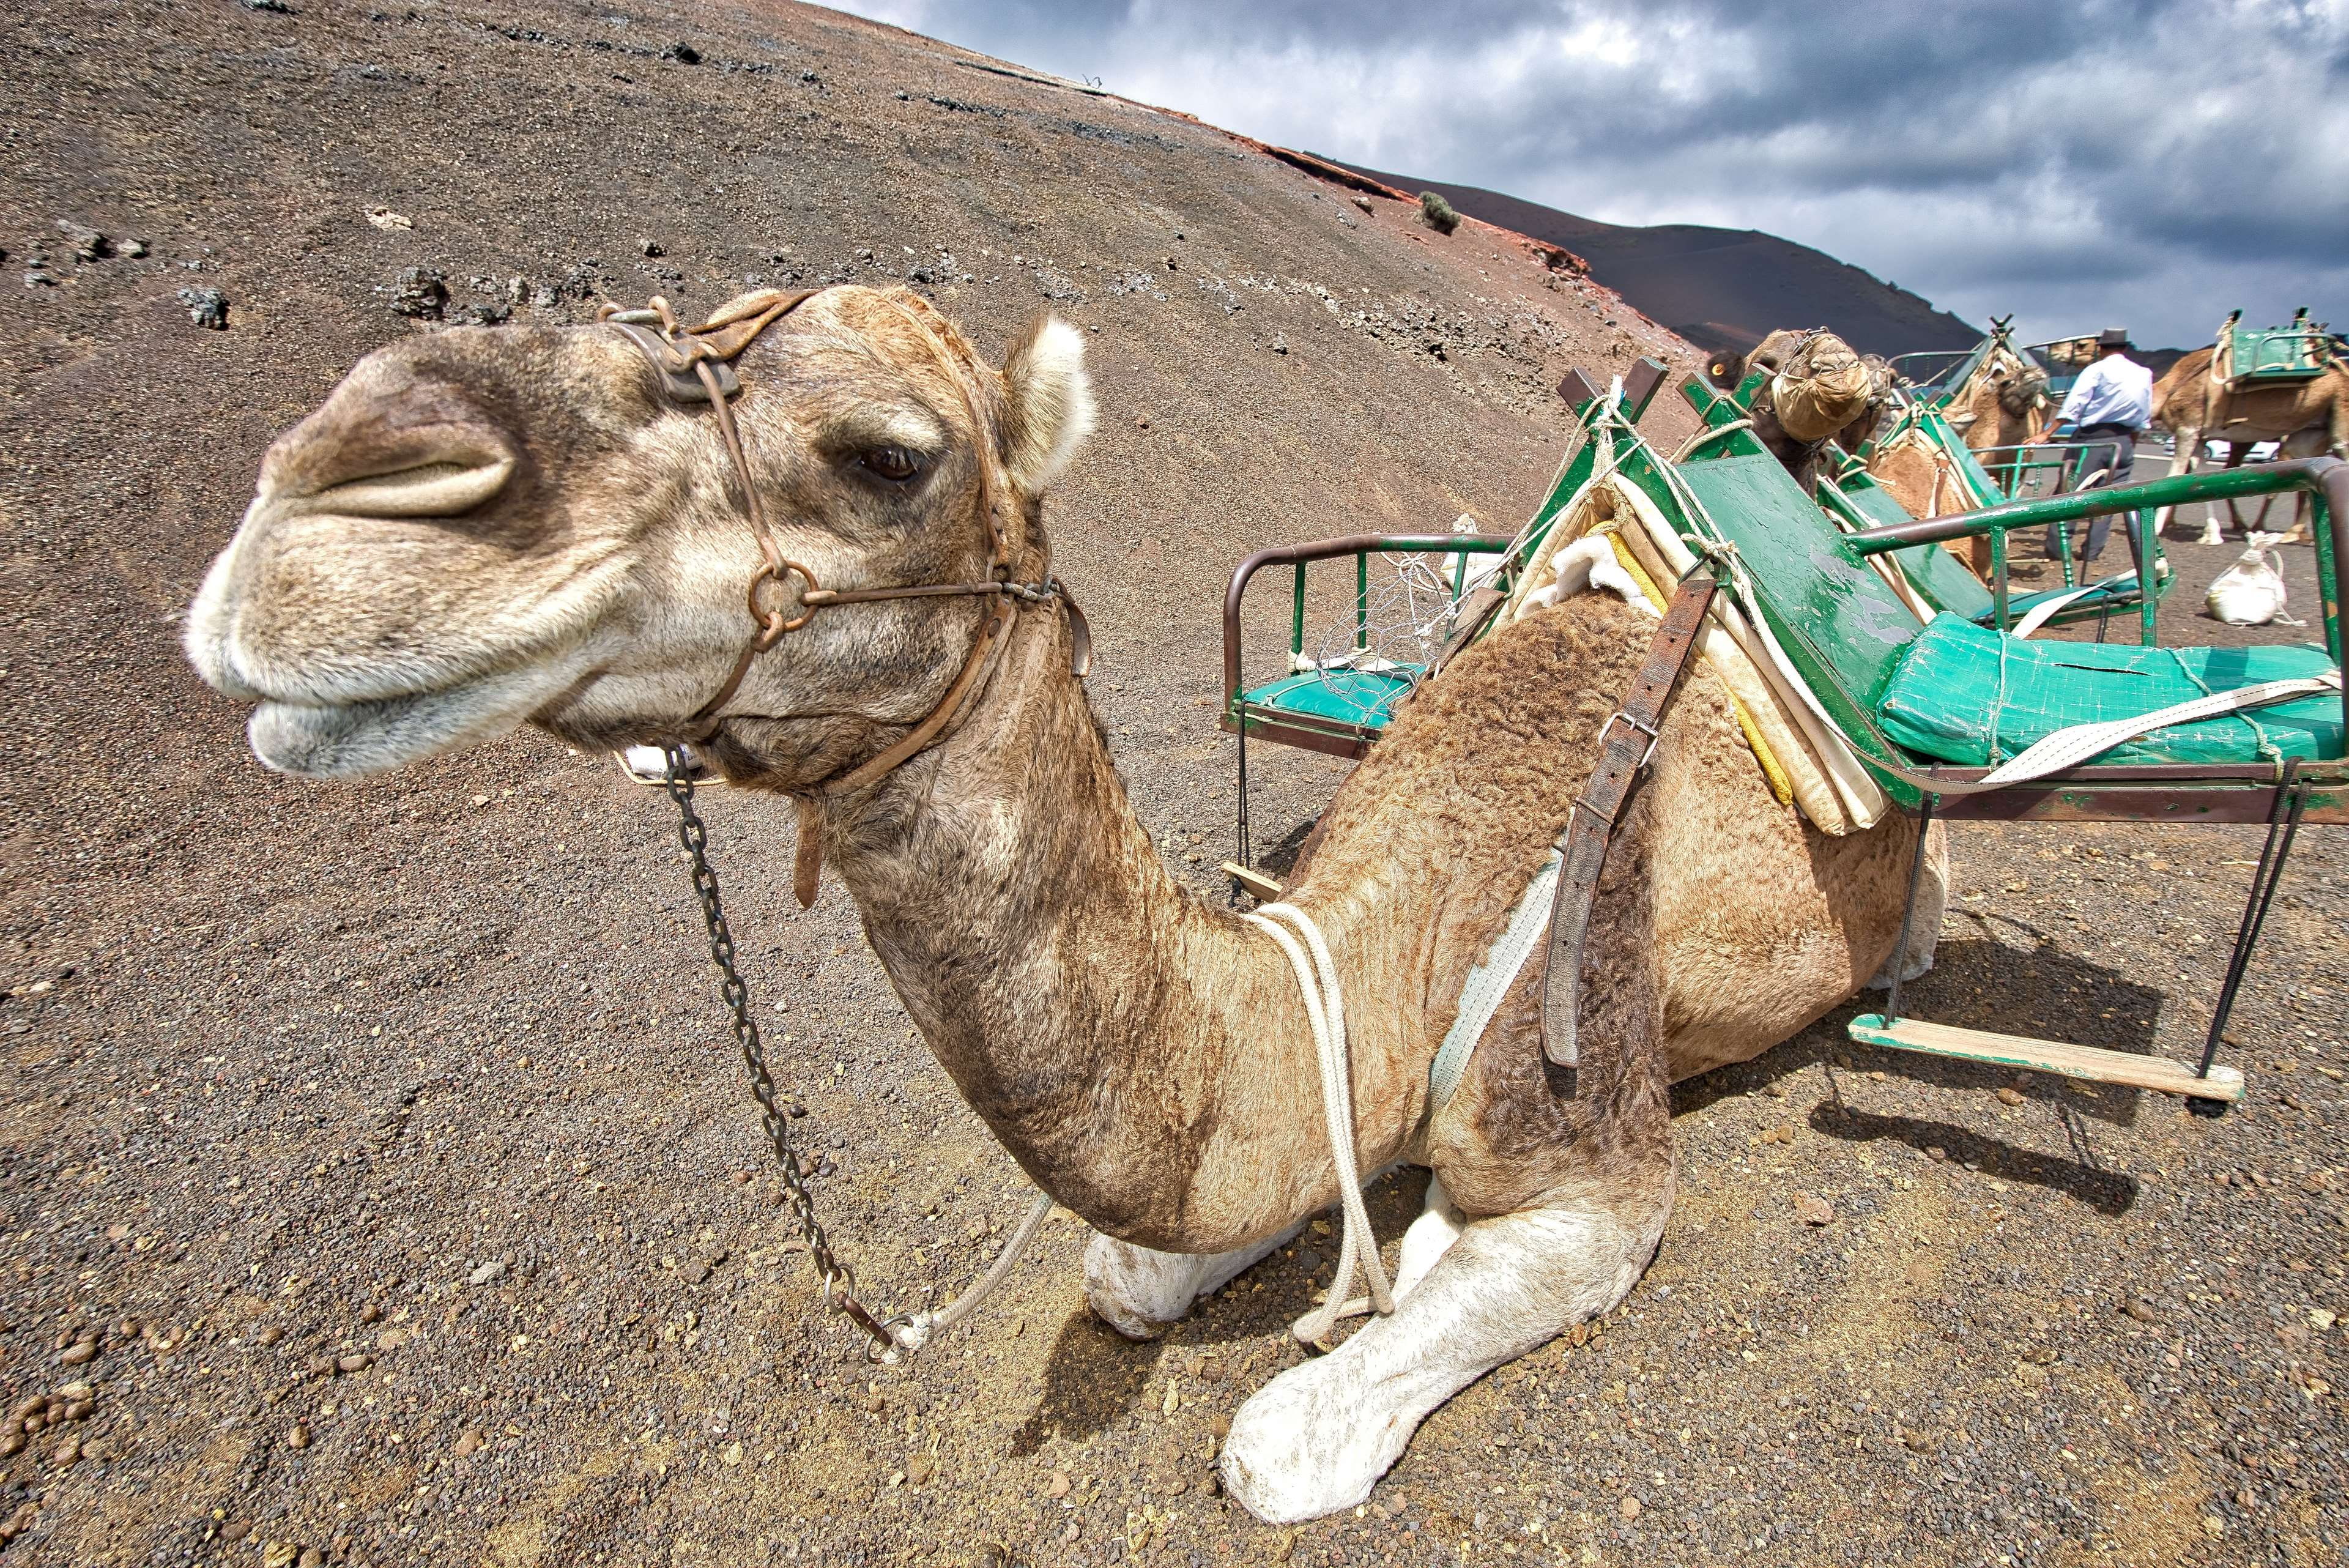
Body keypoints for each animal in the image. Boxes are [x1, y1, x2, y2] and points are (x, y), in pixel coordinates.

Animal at [183, 287, 1942, 1523]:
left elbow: (1278, 1442)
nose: (332, 493)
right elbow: (1131, 1268)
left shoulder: (1604, 1159)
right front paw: (1395, 1234)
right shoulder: (1323, 1086)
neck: (1419, 916)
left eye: (890, 454)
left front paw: (1407, 1267)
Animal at [2150, 344, 2347, 544]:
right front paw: (2212, 535)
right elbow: (2199, 476)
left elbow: (2174, 475)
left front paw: (2156, 531)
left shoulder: (2188, 427)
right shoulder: (2199, 435)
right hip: (2314, 428)